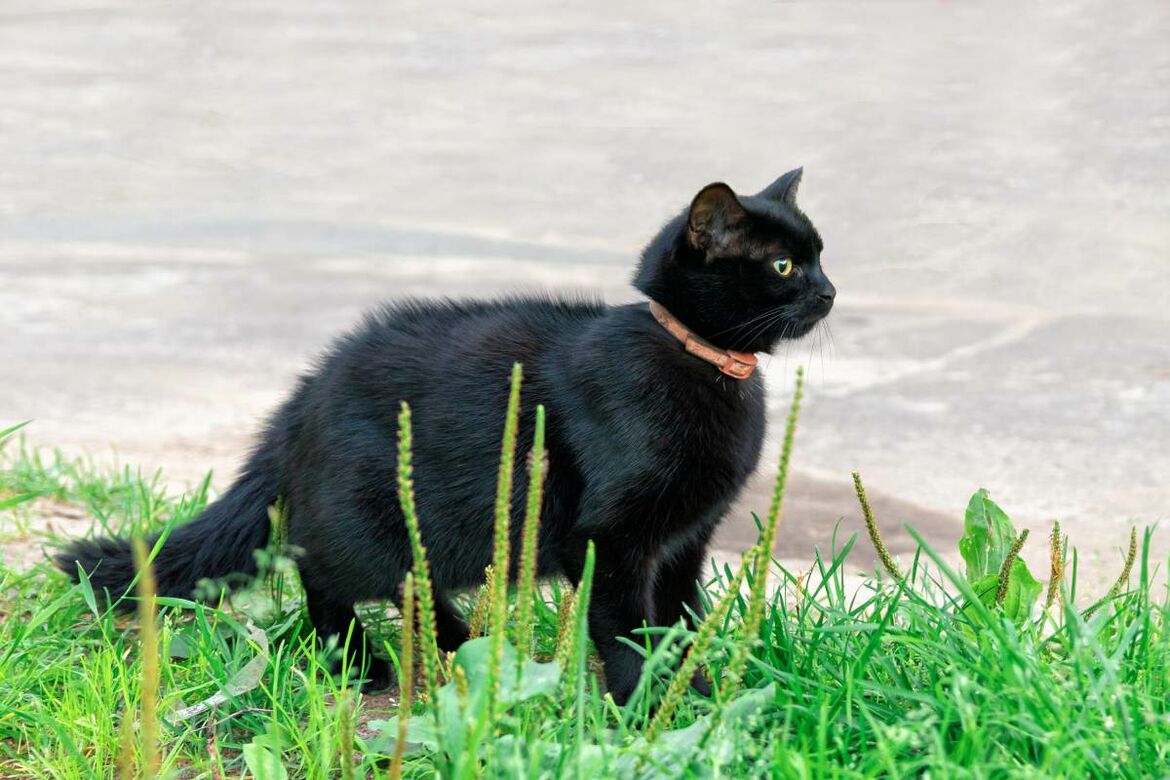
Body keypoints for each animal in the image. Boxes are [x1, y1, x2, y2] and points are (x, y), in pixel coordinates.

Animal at [59, 168, 837, 706]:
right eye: (783, 266)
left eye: (821, 255)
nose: (831, 292)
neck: (699, 361)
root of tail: (302, 398)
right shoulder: (610, 538)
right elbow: (625, 628)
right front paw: (643, 702)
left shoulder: (685, 541)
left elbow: (680, 620)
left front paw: (698, 691)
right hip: (377, 518)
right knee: (326, 573)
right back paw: (360, 661)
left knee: (409, 584)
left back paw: (465, 645)